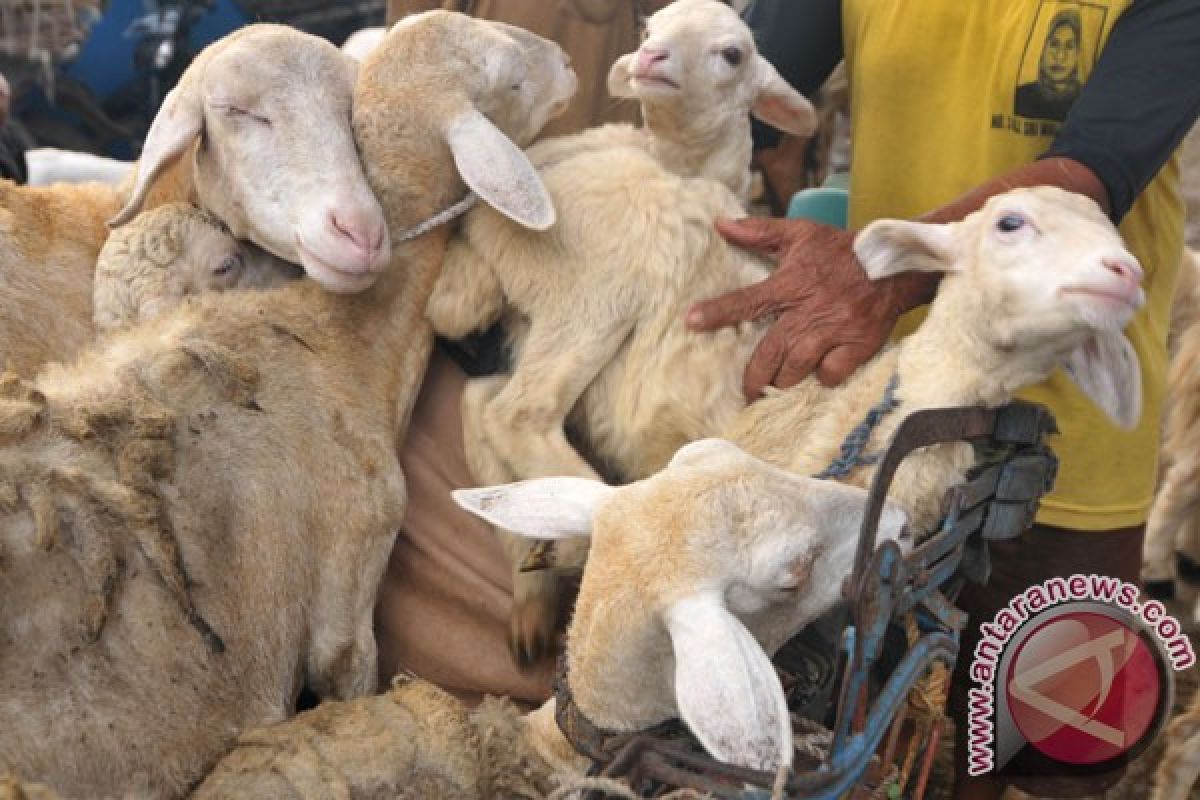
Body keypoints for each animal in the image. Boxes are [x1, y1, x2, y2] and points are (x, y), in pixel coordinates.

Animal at [424, 0, 816, 662]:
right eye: (649, 26)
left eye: (732, 53)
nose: (650, 59)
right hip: (595, 297)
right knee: (518, 412)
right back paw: (568, 543)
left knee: (482, 403)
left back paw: (532, 579)